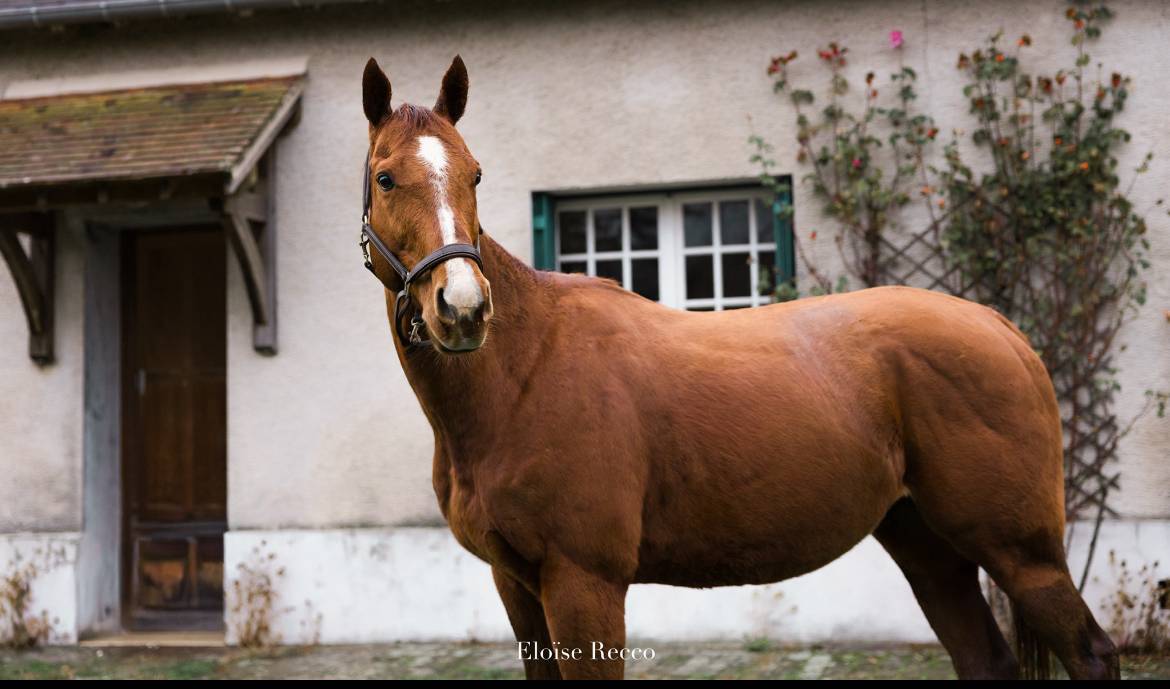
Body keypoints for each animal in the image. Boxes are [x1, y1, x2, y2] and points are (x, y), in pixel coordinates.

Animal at [357, 55, 1119, 680]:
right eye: (386, 177)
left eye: (475, 174)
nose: (462, 308)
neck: (524, 371)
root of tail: (998, 327)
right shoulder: (516, 584)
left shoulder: (583, 581)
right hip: (929, 548)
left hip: (1021, 551)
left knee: (1090, 652)